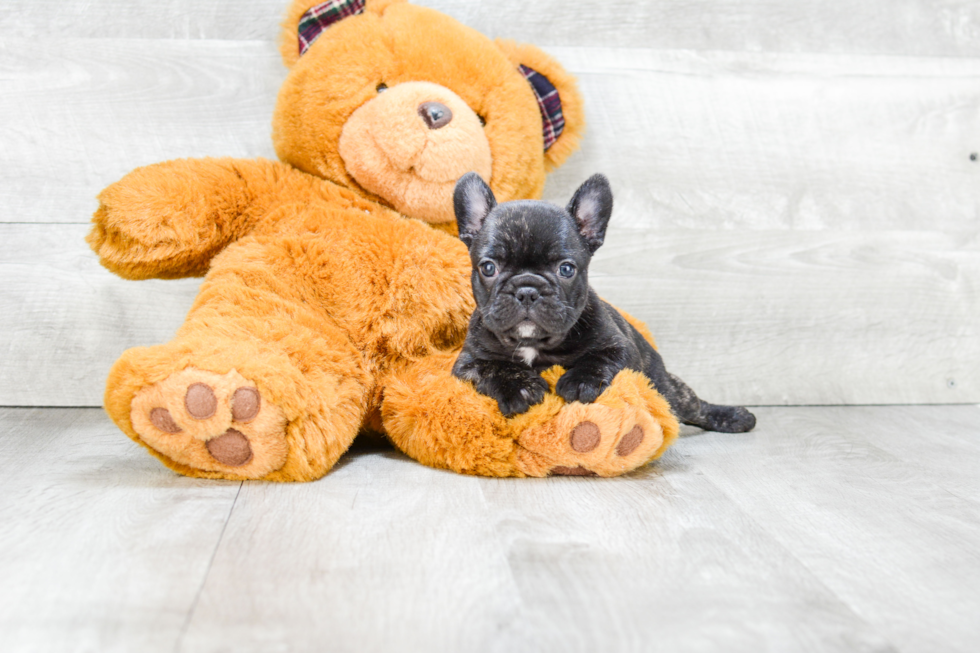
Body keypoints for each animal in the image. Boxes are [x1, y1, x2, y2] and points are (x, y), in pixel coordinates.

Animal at [452, 171, 756, 432]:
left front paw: (579, 382)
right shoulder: (467, 363)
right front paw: (520, 387)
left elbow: (598, 359)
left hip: (668, 387)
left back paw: (736, 417)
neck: (533, 344)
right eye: (488, 268)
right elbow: (494, 366)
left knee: (693, 406)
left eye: (566, 269)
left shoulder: (623, 348)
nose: (527, 289)